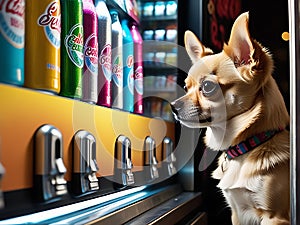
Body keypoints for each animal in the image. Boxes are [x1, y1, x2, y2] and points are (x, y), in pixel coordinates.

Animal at [171, 12, 290, 225]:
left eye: (207, 87)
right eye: (186, 87)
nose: (173, 106)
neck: (247, 146)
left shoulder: (275, 217)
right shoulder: (237, 213)